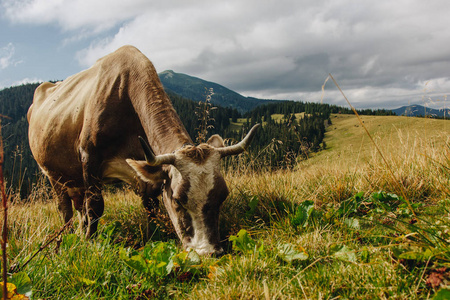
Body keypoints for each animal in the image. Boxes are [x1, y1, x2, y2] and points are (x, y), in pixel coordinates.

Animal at [27, 45, 260, 256]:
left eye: (223, 195)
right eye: (177, 200)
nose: (208, 252)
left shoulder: (149, 167)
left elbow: (151, 209)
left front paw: (152, 241)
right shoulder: (89, 158)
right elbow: (95, 208)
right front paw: (87, 245)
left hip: (74, 180)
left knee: (79, 209)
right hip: (52, 175)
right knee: (65, 210)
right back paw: (61, 246)